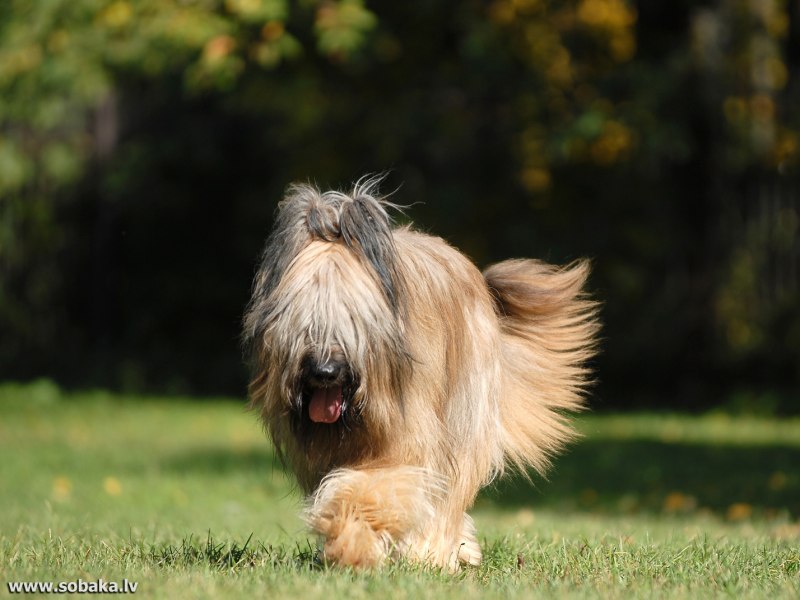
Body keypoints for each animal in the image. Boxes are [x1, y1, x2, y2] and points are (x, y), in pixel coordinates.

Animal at [244, 176, 600, 568]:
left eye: (353, 317)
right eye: (301, 321)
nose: (325, 371)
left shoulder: (410, 436)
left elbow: (377, 488)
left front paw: (354, 543)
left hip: (464, 412)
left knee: (450, 491)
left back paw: (433, 553)